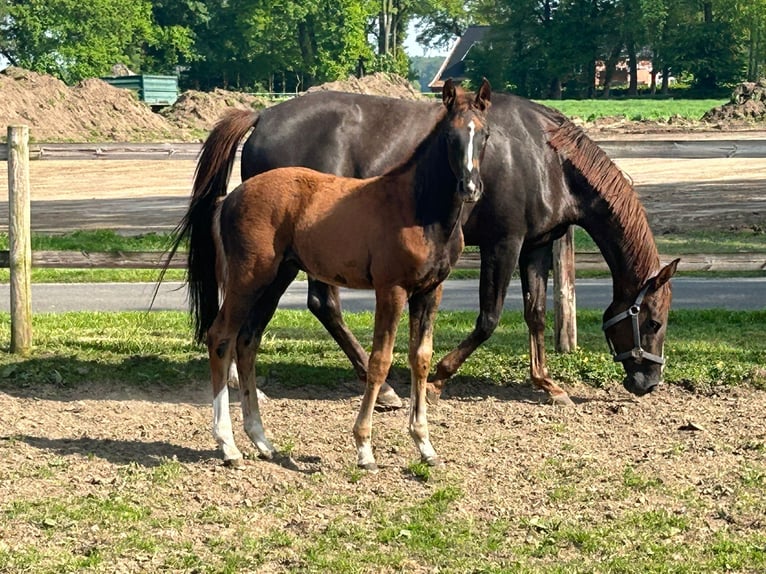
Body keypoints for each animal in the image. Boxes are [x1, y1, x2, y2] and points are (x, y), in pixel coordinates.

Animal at [172, 79, 496, 470]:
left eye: (485, 135)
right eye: (451, 136)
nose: (471, 189)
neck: (417, 208)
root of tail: (232, 197)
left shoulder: (431, 290)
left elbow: (420, 358)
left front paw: (425, 446)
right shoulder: (391, 289)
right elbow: (380, 361)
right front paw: (364, 448)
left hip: (276, 279)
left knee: (248, 341)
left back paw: (263, 441)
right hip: (248, 278)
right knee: (221, 337)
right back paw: (228, 446)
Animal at [188, 89, 684, 410]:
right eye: (653, 322)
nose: (648, 381)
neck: (544, 156)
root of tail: (262, 117)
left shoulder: (536, 247)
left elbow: (536, 314)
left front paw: (546, 383)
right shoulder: (504, 244)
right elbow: (489, 318)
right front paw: (440, 379)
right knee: (318, 304)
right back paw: (380, 389)